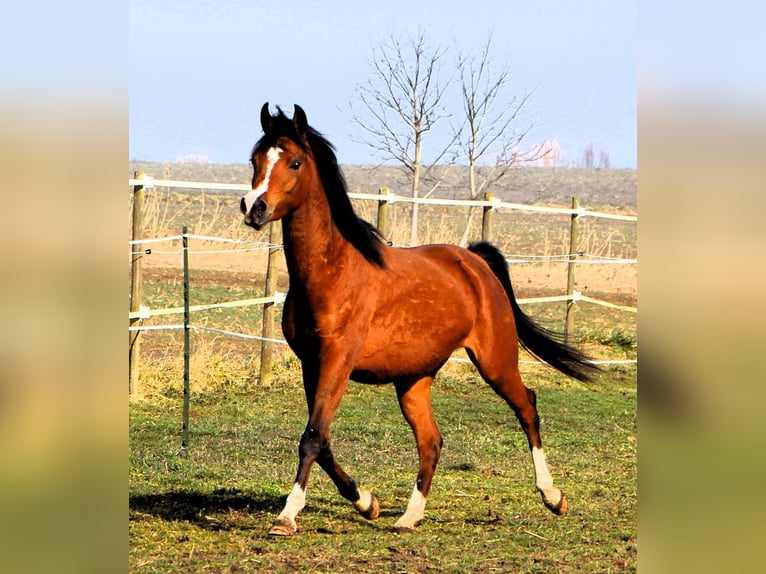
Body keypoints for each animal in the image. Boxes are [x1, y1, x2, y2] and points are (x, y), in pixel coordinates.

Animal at [240, 104, 600, 540]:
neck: (332, 272)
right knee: (432, 441)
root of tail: (476, 263)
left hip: (495, 361)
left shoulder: (337, 363)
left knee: (526, 408)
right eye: (255, 160)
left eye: (294, 162)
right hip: (414, 379)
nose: (253, 207)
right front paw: (367, 503)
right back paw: (409, 517)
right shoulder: (313, 364)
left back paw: (553, 497)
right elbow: (322, 440)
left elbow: (311, 438)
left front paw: (287, 516)